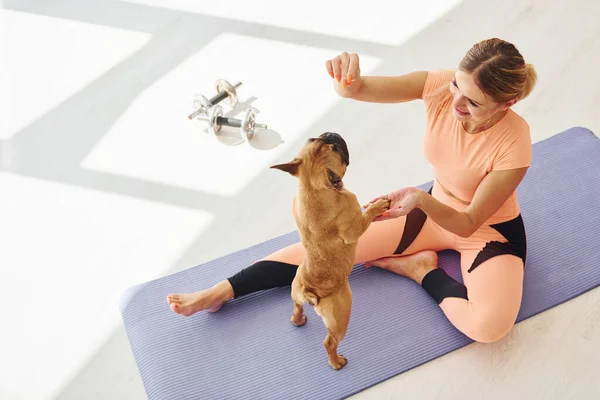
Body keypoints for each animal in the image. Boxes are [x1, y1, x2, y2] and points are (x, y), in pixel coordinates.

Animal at [270, 133, 390, 370]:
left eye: (313, 138)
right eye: (335, 149)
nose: (331, 134)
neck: (312, 187)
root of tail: (309, 289)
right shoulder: (353, 227)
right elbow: (365, 216)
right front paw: (377, 206)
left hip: (295, 290)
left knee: (296, 306)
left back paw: (298, 320)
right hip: (341, 316)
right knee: (329, 342)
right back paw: (336, 362)